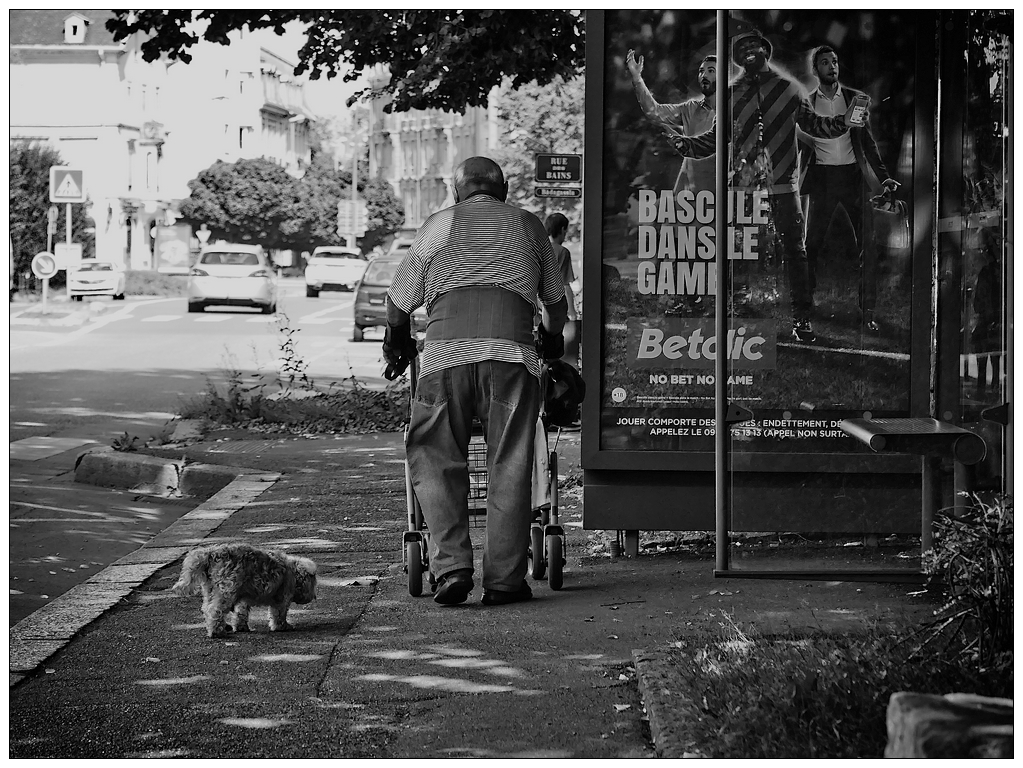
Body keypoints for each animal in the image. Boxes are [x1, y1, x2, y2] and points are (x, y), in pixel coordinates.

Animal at [171, 544, 317, 638]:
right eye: (313, 584)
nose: (314, 596)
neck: (292, 572)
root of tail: (211, 553)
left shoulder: (243, 599)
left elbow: (241, 613)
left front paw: (241, 627)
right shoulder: (282, 598)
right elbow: (279, 614)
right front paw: (282, 626)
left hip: (210, 589)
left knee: (207, 608)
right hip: (226, 590)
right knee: (214, 610)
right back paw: (217, 632)